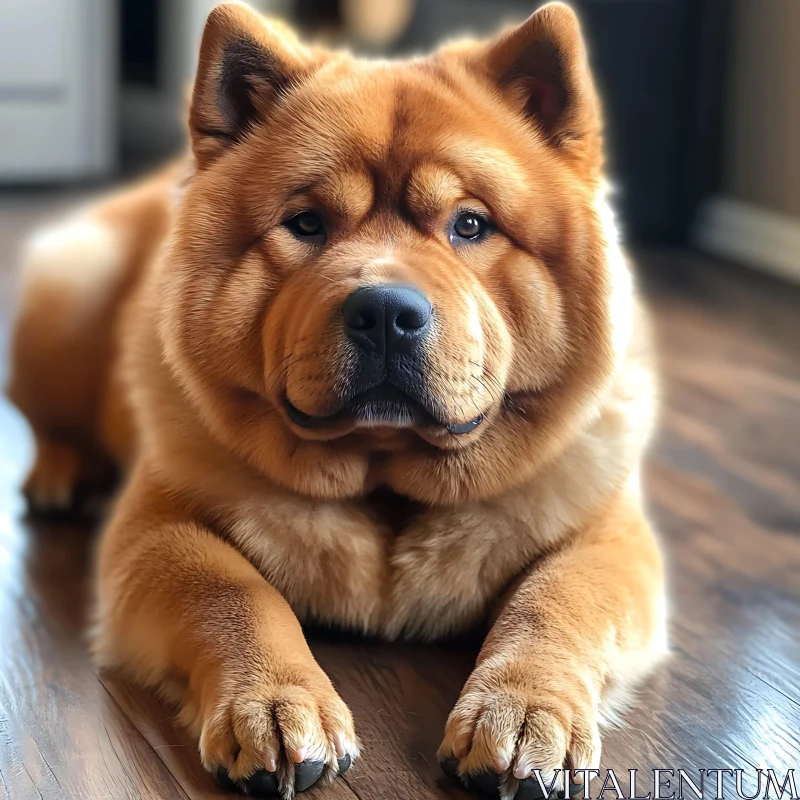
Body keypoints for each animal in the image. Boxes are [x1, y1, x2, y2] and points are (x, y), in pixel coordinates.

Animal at [9, 3, 664, 796]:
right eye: (307, 225)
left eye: (470, 225)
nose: (384, 310)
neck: (383, 480)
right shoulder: (159, 527)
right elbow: (230, 594)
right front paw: (274, 705)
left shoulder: (606, 534)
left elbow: (557, 603)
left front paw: (525, 714)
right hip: (67, 287)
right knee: (51, 421)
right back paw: (59, 474)